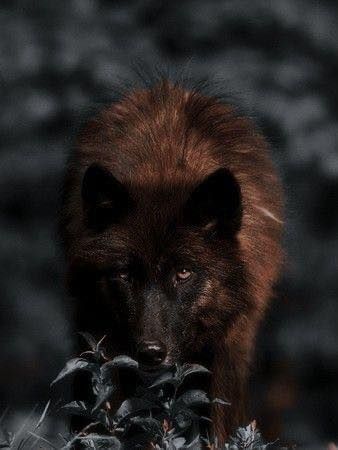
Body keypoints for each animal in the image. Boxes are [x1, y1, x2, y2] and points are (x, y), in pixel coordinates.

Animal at [60, 79, 282, 442]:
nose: (151, 352)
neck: (164, 171)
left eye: (184, 272)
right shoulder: (100, 338)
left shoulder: (228, 348)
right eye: (124, 274)